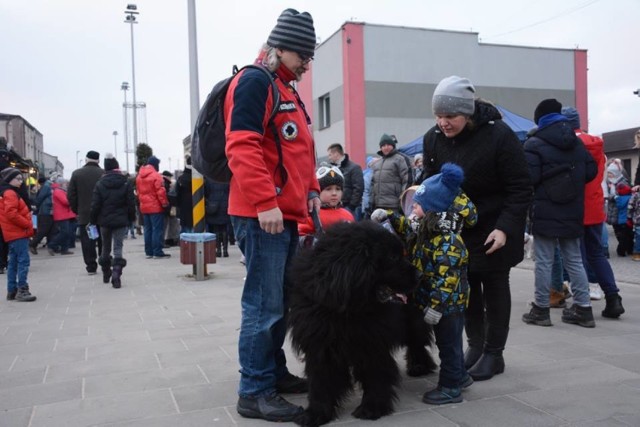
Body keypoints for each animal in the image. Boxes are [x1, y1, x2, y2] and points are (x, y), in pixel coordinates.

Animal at [288, 221, 436, 427]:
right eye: (392, 257)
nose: (420, 275)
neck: (347, 308)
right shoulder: (320, 344)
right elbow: (320, 382)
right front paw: (316, 413)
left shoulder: (371, 342)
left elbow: (375, 374)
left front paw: (371, 408)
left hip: (412, 320)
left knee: (417, 341)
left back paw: (419, 366)